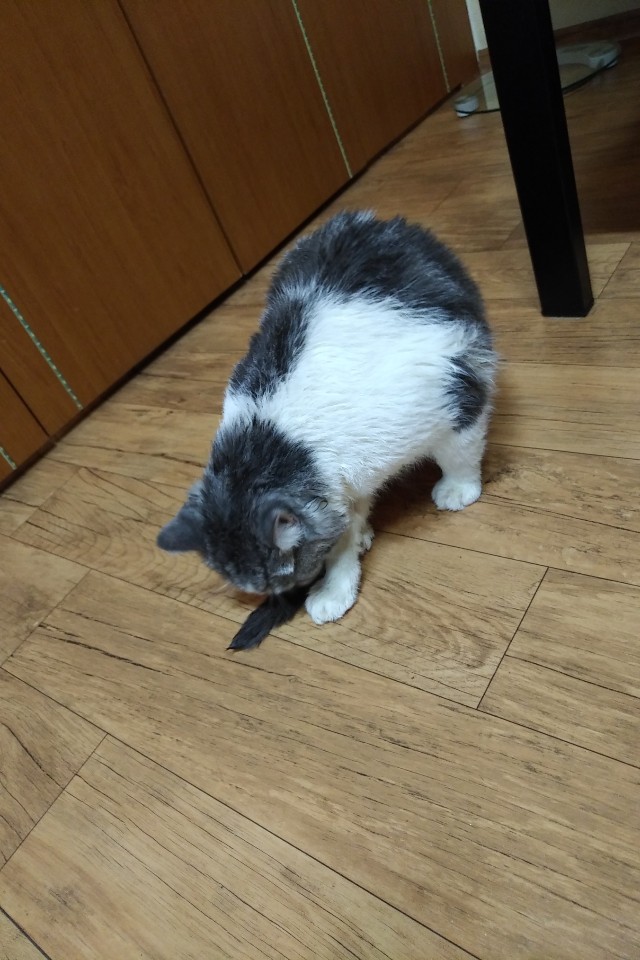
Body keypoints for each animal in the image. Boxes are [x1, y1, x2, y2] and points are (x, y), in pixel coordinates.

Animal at [158, 210, 497, 625]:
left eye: (286, 574)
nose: (285, 594)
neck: (279, 442)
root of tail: (369, 219)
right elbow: (344, 529)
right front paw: (341, 576)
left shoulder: (452, 386)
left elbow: (459, 452)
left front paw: (459, 489)